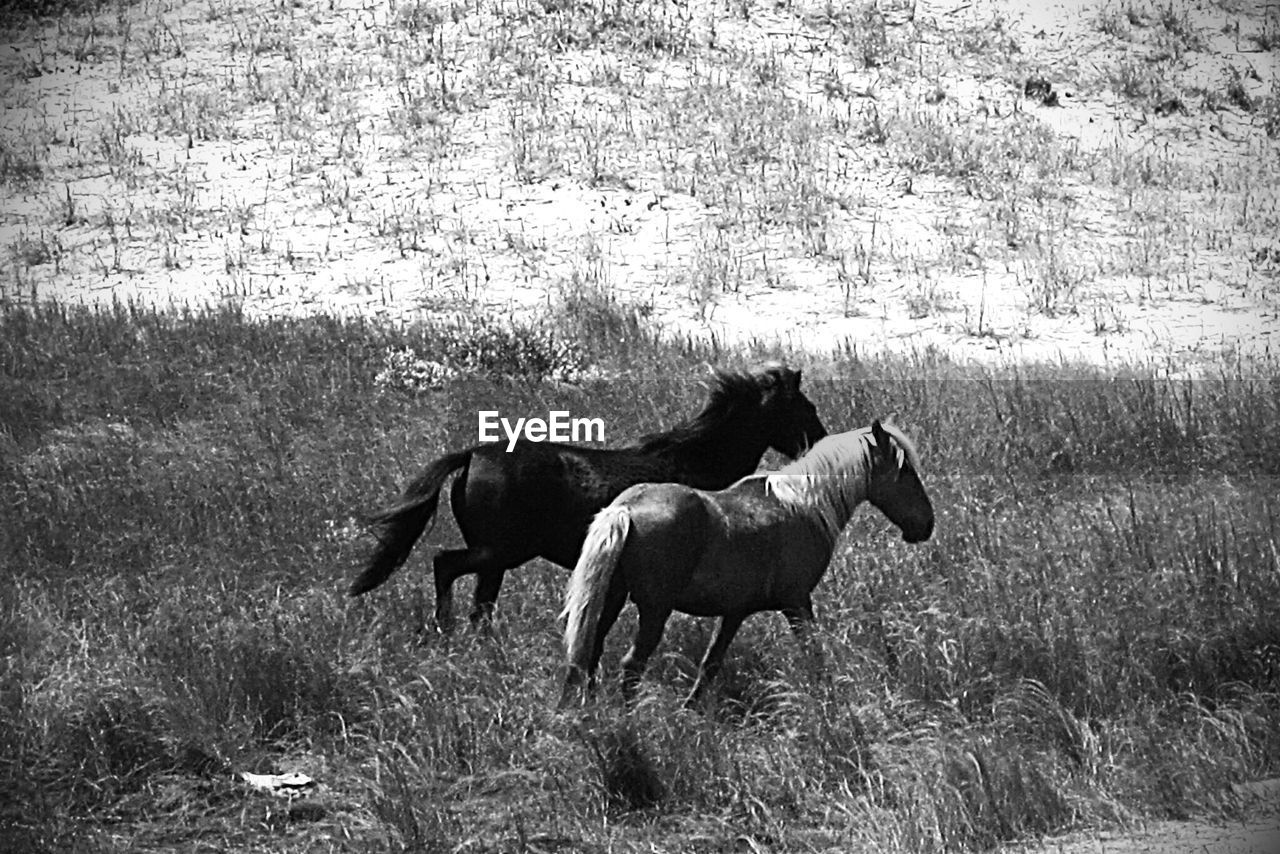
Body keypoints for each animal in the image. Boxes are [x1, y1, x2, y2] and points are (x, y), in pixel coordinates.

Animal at [350, 363, 829, 632]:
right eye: (805, 406)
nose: (821, 442)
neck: (695, 460)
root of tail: (472, 455)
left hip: (497, 558)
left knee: (478, 602)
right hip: (500, 550)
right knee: (444, 565)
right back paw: (444, 628)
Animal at [560, 419, 931, 706]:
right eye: (904, 472)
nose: (926, 525)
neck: (802, 503)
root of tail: (625, 509)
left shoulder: (735, 612)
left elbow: (710, 664)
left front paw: (690, 711)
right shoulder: (797, 602)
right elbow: (815, 656)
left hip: (610, 600)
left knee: (585, 656)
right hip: (654, 610)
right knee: (631, 665)